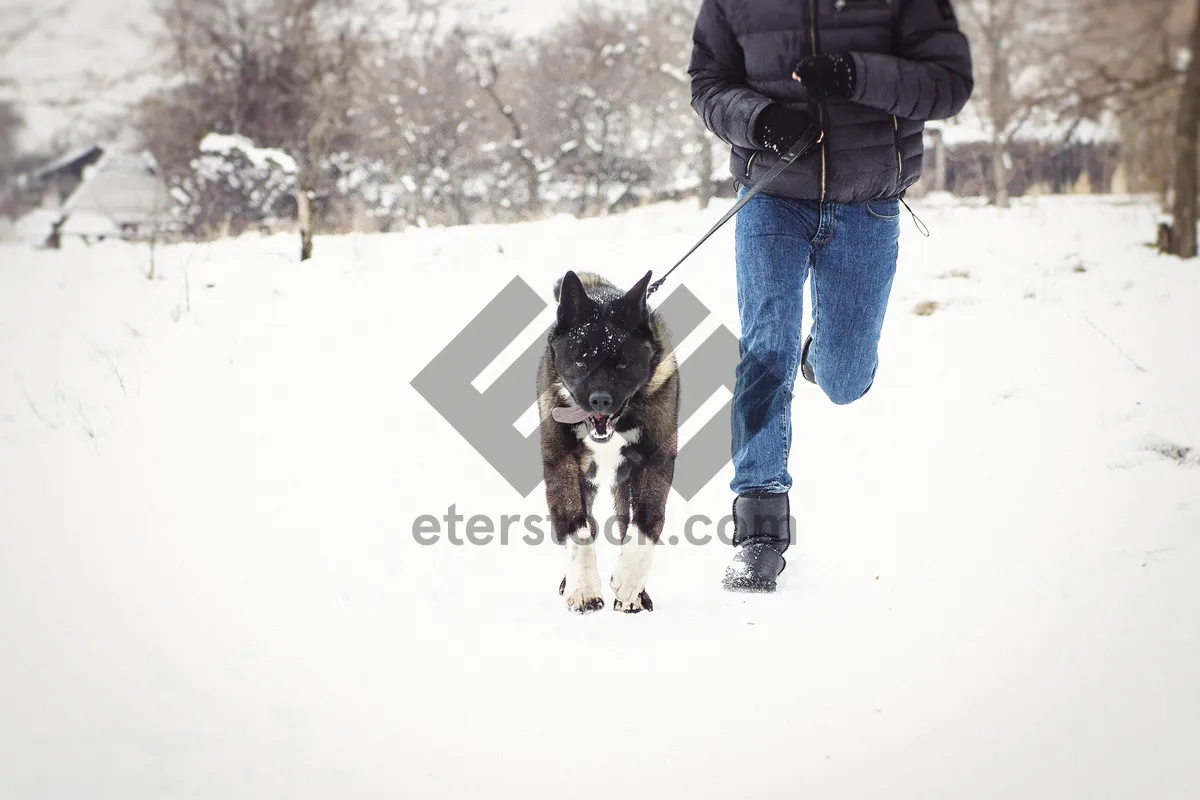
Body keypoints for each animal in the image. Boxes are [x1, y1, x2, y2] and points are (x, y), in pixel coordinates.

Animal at [540, 268, 681, 614]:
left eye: (623, 364)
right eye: (580, 361)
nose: (600, 400)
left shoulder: (654, 461)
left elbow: (645, 521)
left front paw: (630, 583)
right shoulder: (562, 464)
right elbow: (576, 527)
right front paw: (584, 587)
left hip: (621, 484)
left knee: (624, 523)